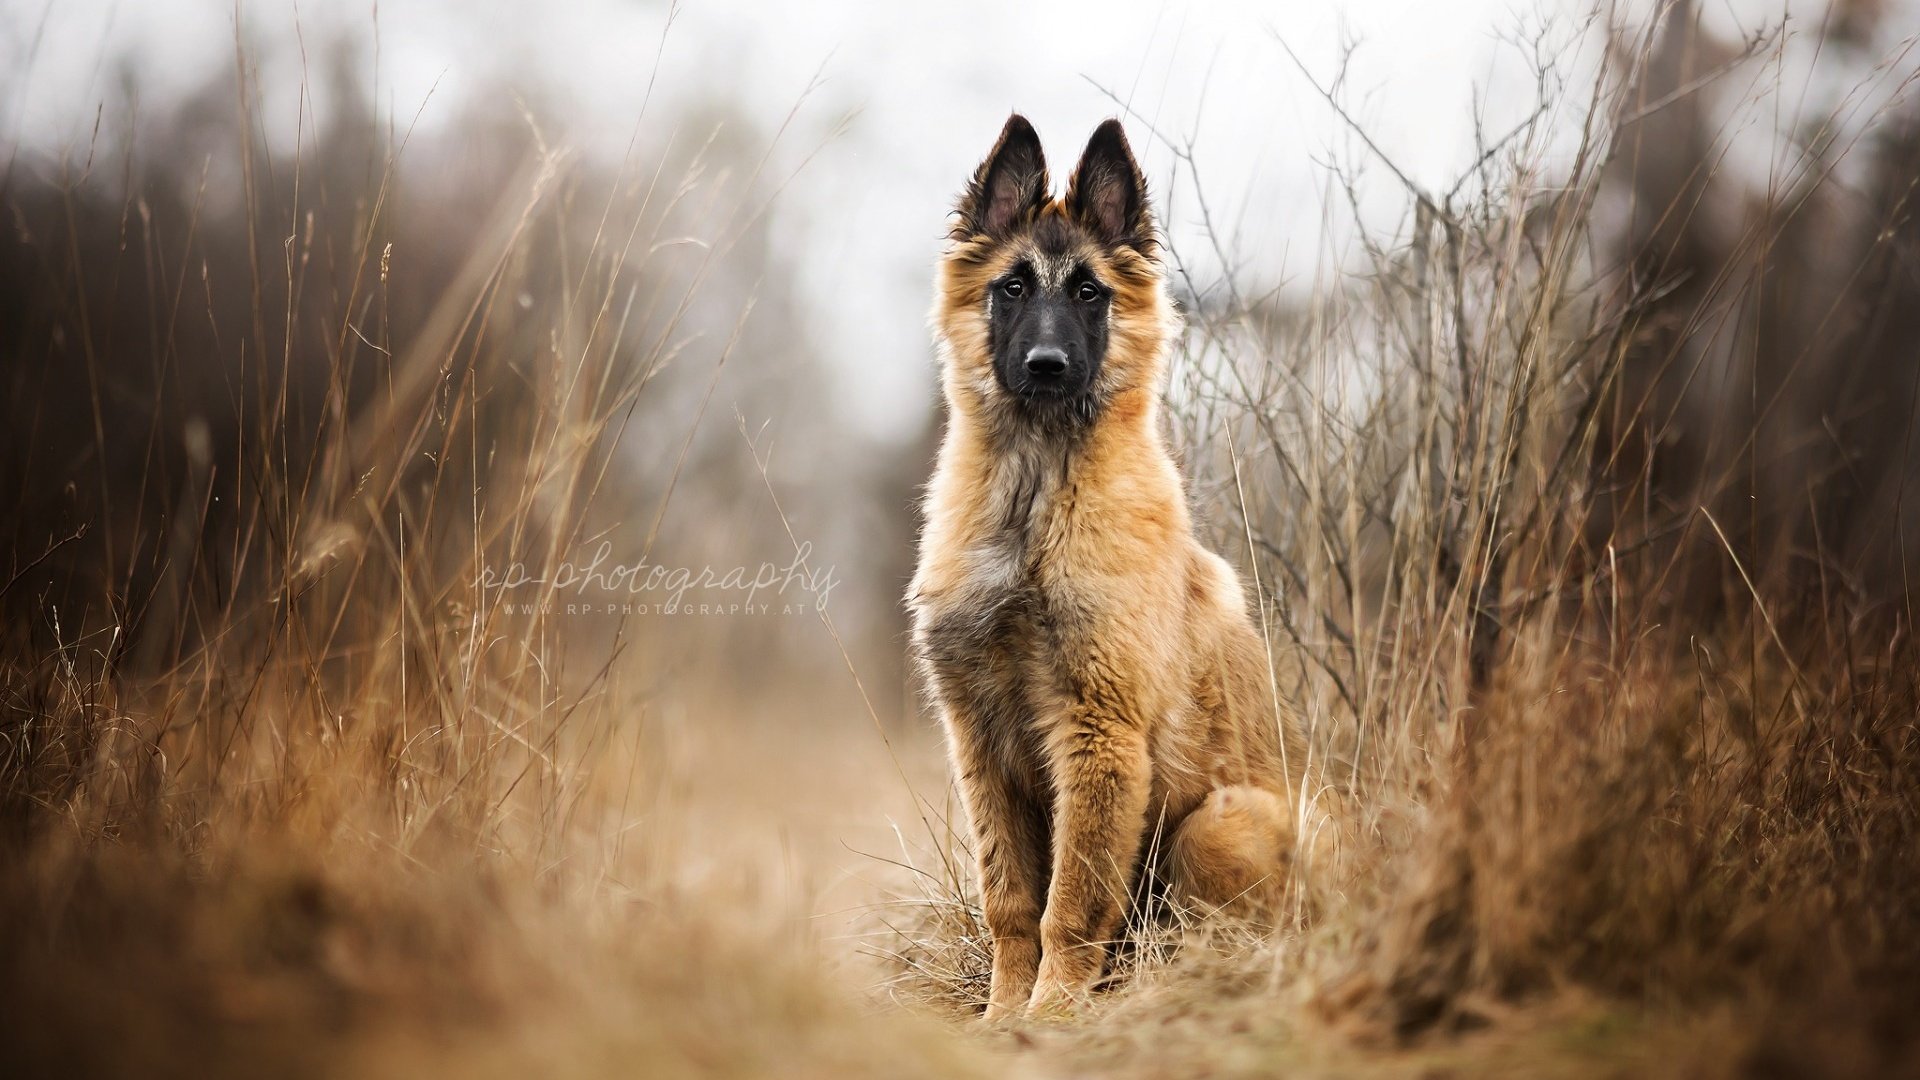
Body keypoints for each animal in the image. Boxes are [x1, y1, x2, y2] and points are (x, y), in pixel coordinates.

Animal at [906, 113, 1313, 1014]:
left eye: (1089, 293)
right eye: (1013, 288)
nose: (1046, 367)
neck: (1036, 491)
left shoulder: (1099, 733)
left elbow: (1071, 900)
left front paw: (1050, 1016)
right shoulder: (980, 741)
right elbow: (1011, 900)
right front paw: (1002, 1015)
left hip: (1216, 822)